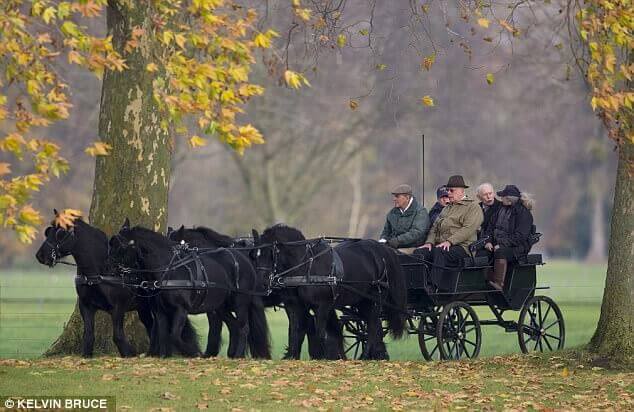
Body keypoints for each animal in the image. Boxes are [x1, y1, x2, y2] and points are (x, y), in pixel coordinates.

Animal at [34, 212, 196, 358]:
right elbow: (88, 334)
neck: (100, 271)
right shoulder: (86, 306)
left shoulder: (118, 307)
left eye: (60, 232)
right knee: (151, 326)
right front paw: (86, 355)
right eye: (48, 231)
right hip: (143, 307)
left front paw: (128, 353)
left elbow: (117, 335)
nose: (40, 256)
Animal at [110, 220, 268, 358]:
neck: (170, 270)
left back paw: (238, 355)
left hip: (239, 303)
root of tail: (245, 260)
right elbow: (162, 333)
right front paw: (163, 356)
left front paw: (193, 352)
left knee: (243, 328)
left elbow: (174, 335)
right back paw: (232, 355)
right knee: (234, 326)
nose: (111, 272)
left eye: (120, 247)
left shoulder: (181, 309)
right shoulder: (160, 311)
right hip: (221, 307)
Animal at [252, 225, 404, 360]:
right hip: (362, 302)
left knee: (373, 327)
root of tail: (380, 250)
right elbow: (296, 331)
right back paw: (375, 355)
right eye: (256, 255)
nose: (261, 282)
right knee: (374, 327)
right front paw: (292, 356)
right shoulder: (295, 306)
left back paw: (366, 356)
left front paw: (321, 356)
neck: (306, 267)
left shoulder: (322, 306)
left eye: (271, 253)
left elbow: (320, 332)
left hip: (374, 300)